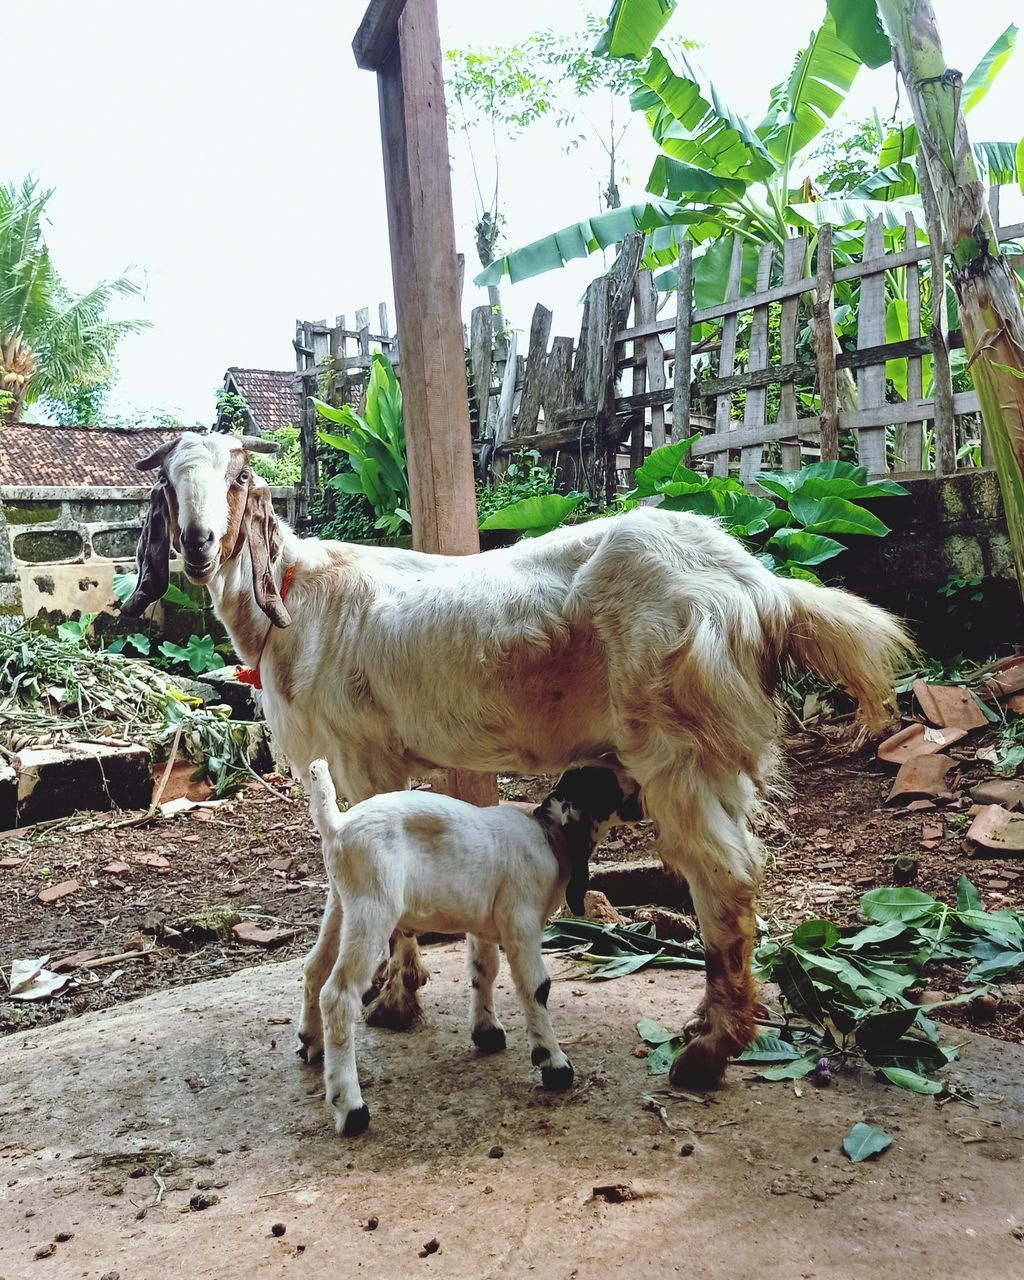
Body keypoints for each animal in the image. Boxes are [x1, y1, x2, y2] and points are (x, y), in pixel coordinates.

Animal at [122, 435, 911, 1085]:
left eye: (237, 477)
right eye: (168, 483)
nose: (198, 545)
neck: (300, 596)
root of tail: (765, 591)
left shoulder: (363, 752)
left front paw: (397, 1000)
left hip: (677, 746)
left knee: (726, 879)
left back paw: (707, 1052)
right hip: (719, 753)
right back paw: (708, 1023)